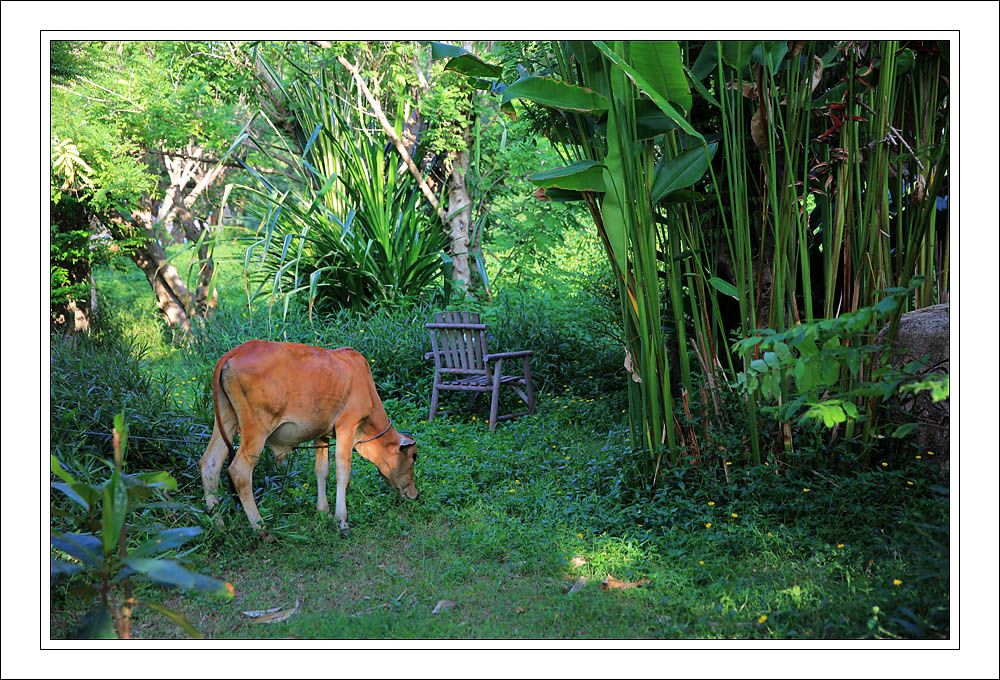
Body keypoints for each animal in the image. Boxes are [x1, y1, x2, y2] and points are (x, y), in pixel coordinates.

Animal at [199, 340, 418, 540]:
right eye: (414, 456)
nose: (414, 494)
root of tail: (237, 351)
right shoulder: (346, 426)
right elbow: (343, 474)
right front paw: (342, 521)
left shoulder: (321, 434)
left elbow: (322, 471)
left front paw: (324, 512)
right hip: (256, 429)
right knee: (240, 472)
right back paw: (262, 530)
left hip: (226, 420)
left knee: (210, 465)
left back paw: (219, 526)